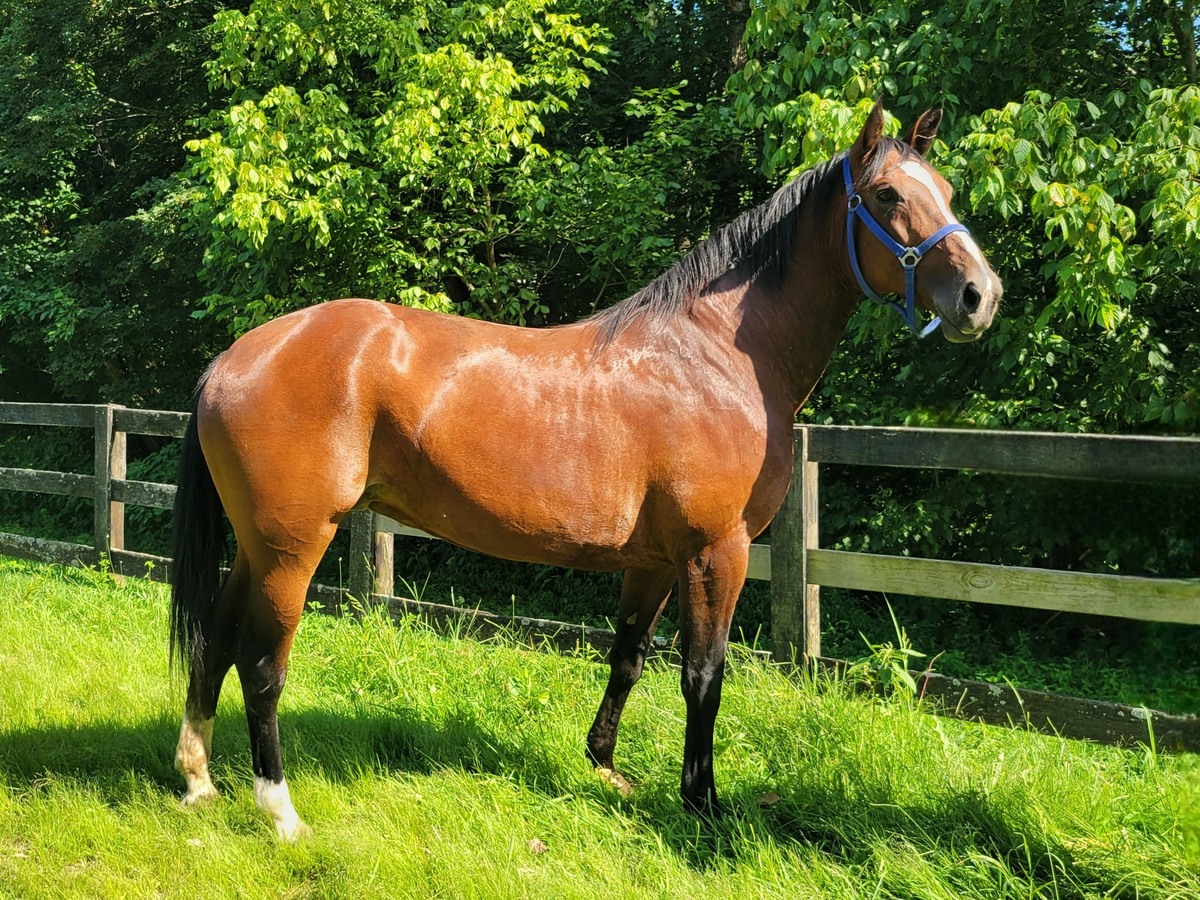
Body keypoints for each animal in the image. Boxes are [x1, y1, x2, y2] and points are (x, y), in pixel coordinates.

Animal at [170, 99, 1002, 840]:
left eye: (946, 190)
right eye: (888, 195)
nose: (979, 296)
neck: (714, 358)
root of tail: (232, 358)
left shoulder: (656, 561)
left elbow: (628, 658)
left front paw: (606, 767)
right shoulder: (715, 553)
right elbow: (705, 674)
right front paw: (704, 807)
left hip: (258, 546)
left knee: (215, 638)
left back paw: (199, 779)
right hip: (293, 548)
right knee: (261, 664)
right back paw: (280, 811)